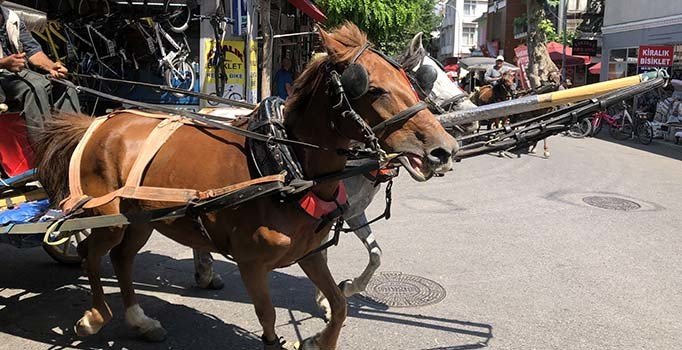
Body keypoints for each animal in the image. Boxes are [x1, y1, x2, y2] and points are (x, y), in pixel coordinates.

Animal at [33, 23, 456, 348]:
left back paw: (141, 321)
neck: (288, 164)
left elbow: (339, 305)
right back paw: (94, 317)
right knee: (90, 253)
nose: (445, 149)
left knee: (122, 259)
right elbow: (268, 317)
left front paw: (318, 335)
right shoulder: (252, 264)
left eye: (410, 83)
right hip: (106, 216)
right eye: (373, 89)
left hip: (140, 220)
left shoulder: (311, 253)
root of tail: (100, 121)